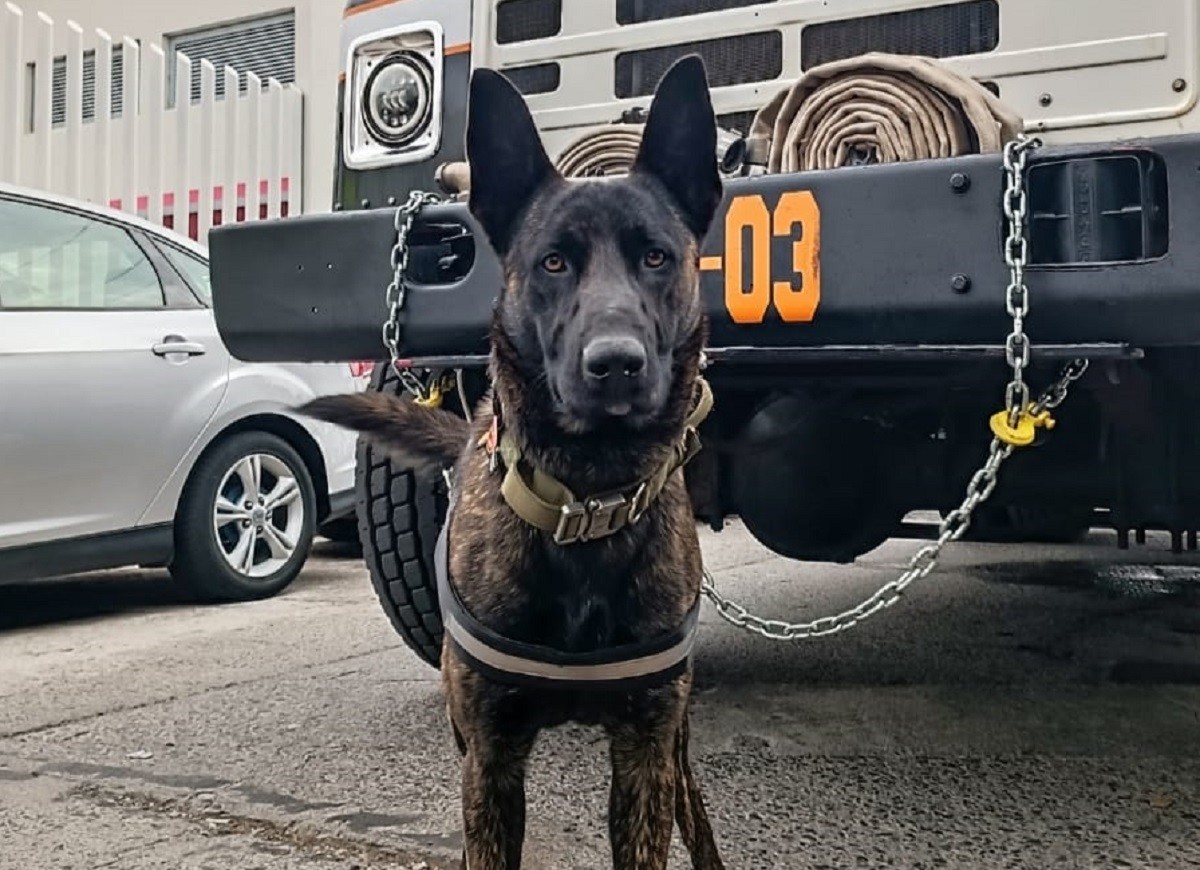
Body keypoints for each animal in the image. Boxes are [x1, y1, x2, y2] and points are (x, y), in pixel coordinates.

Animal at [300, 56, 729, 868]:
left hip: (678, 743)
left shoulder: (644, 755)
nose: (615, 365)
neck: (589, 496)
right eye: (553, 262)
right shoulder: (490, 761)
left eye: (656, 256)